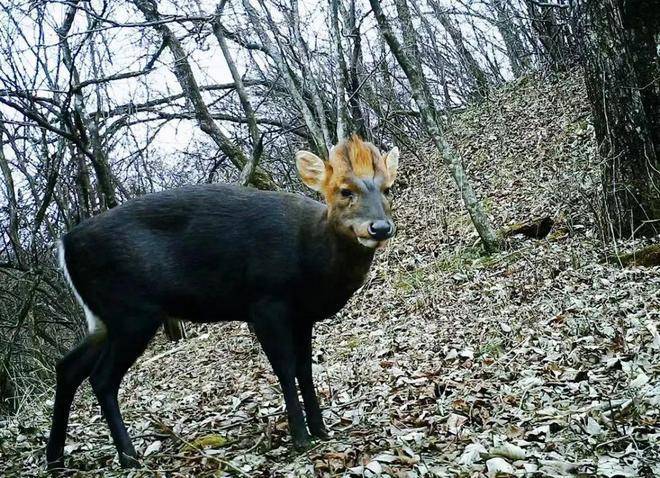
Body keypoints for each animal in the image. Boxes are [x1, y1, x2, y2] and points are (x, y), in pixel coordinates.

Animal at [46, 134, 400, 466]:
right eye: (344, 191)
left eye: (386, 188)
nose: (380, 227)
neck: (311, 258)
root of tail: (64, 244)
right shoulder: (267, 302)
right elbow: (285, 368)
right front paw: (301, 438)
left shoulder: (302, 314)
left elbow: (305, 368)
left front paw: (321, 429)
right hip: (131, 311)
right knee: (102, 378)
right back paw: (128, 455)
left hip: (105, 318)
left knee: (67, 367)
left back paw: (56, 459)